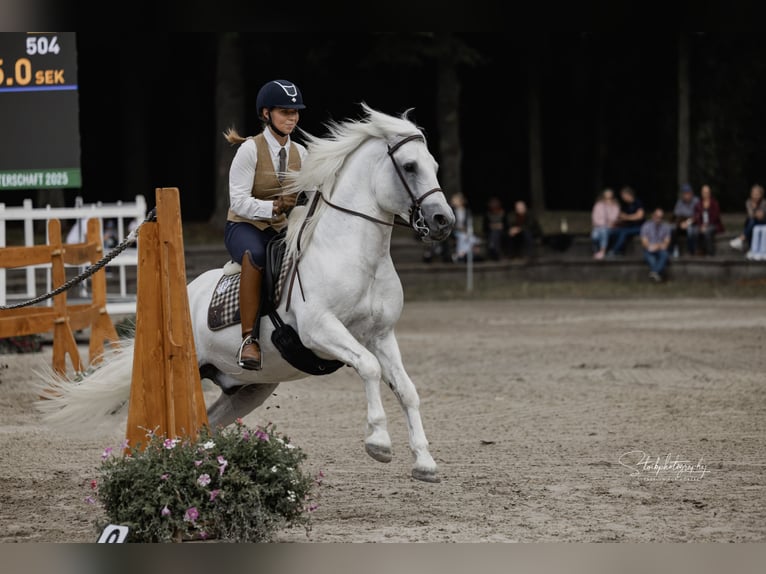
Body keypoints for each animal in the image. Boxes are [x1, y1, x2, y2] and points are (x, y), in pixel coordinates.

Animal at [36, 103, 456, 483]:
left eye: (433, 165)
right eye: (410, 166)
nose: (443, 221)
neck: (355, 254)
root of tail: (186, 294)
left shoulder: (381, 335)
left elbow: (407, 389)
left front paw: (425, 463)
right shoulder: (320, 329)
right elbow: (368, 367)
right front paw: (379, 443)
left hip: (249, 388)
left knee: (204, 427)